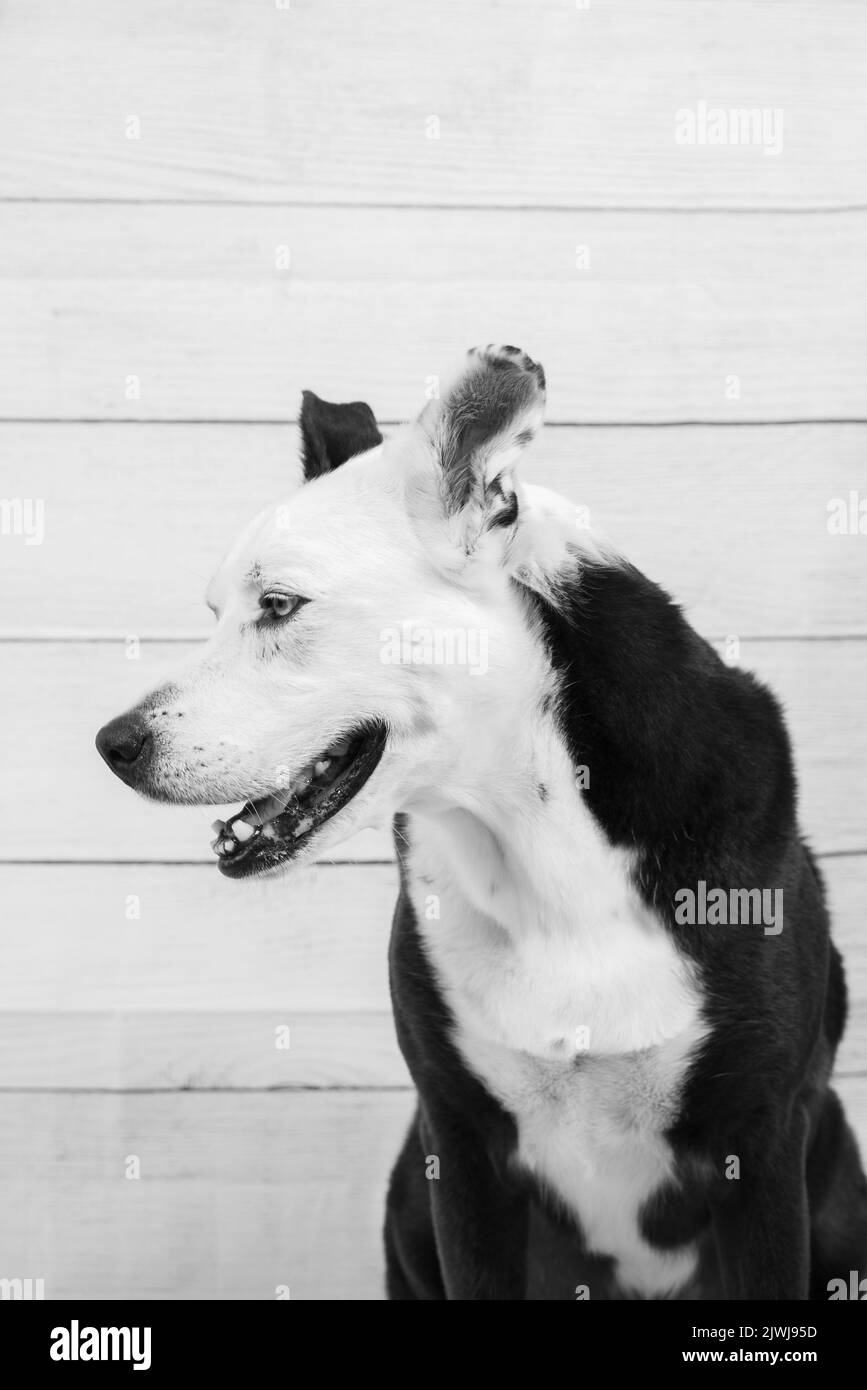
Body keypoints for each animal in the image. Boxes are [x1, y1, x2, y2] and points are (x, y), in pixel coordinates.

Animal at [96, 341, 867, 1295]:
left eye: (278, 606)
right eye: (216, 613)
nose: (112, 744)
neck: (540, 839)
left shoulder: (759, 1151)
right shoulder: (455, 1148)